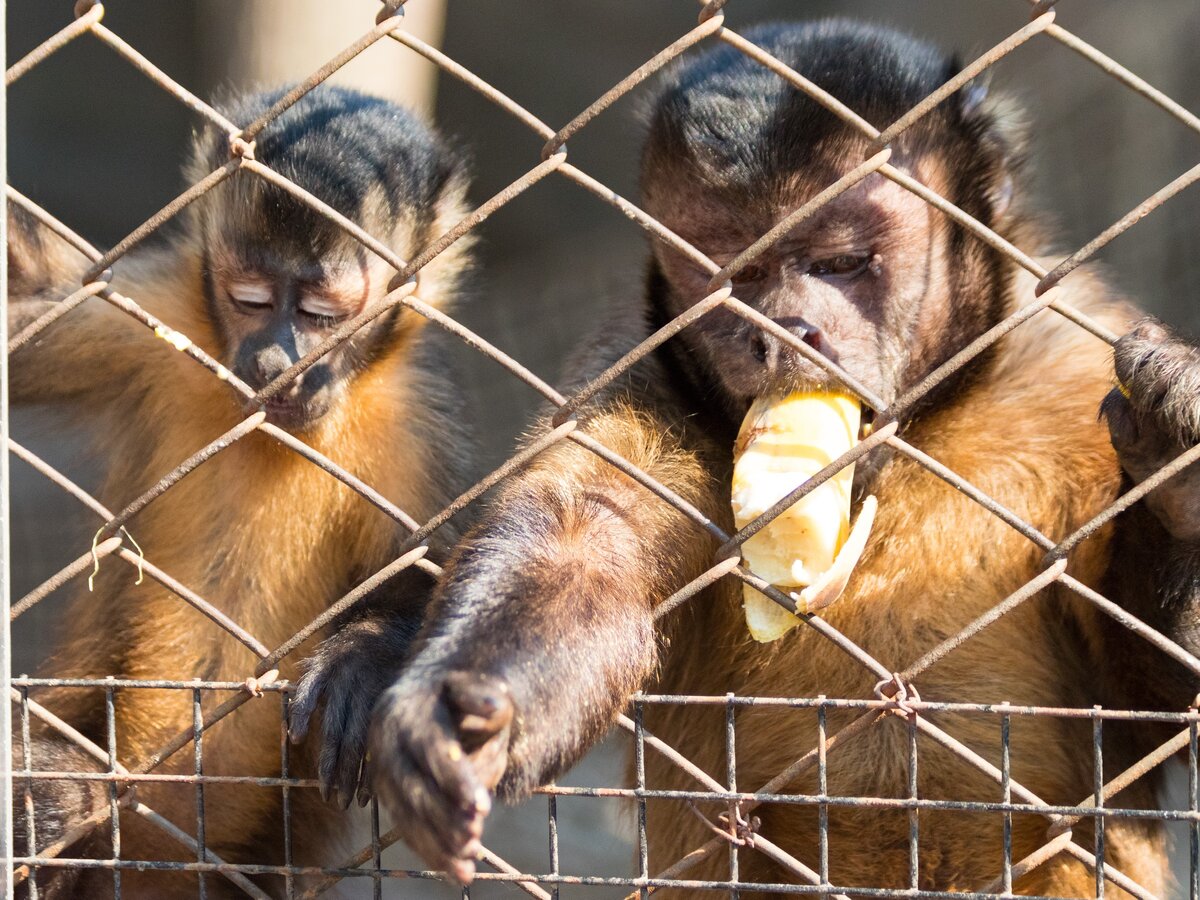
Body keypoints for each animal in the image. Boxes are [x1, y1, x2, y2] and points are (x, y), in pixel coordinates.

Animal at [11, 82, 477, 897]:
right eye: (252, 298)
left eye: (323, 315)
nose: (272, 364)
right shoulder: (155, 315)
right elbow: (21, 313)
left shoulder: (417, 414)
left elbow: (445, 568)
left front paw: (366, 659)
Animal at [292, 21, 1200, 900]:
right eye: (736, 277)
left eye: (841, 262)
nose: (783, 331)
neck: (911, 441)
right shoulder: (639, 367)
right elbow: (583, 542)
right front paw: (462, 711)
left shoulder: (1071, 362)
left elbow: (1158, 707)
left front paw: (1175, 472)